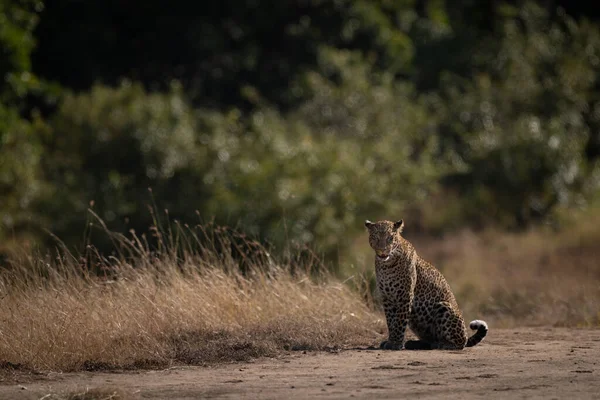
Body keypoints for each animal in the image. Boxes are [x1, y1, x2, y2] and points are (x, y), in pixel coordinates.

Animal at [366, 219, 488, 350]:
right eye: (376, 237)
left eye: (390, 238)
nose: (383, 250)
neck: (386, 265)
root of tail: (465, 335)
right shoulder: (387, 297)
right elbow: (391, 321)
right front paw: (391, 341)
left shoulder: (405, 295)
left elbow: (399, 321)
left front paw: (396, 343)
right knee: (431, 339)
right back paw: (414, 343)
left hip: (443, 306)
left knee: (459, 343)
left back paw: (443, 344)